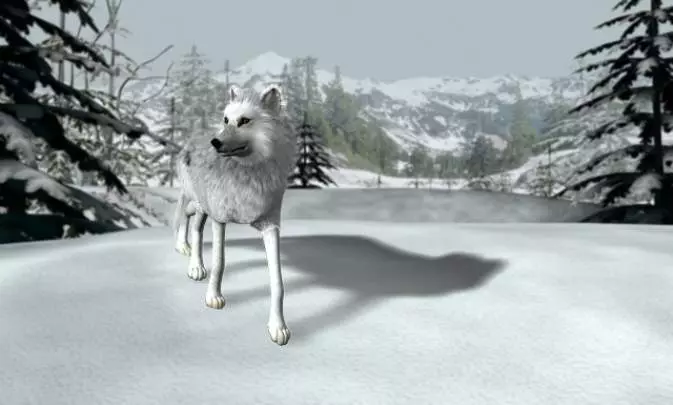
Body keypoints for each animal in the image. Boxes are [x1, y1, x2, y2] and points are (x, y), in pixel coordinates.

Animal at [173, 84, 296, 346]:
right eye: (226, 119)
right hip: (203, 205)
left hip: (203, 207)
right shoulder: (220, 219)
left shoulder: (271, 226)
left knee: (191, 221)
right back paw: (193, 263)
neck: (247, 174)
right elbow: (220, 262)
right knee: (192, 224)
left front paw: (278, 327)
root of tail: (194, 136)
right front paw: (213, 297)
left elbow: (278, 282)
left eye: (245, 121)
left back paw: (185, 250)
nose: (215, 142)